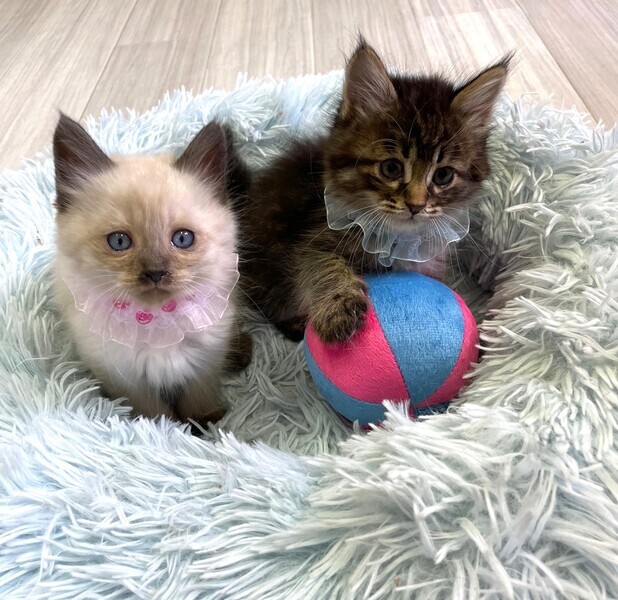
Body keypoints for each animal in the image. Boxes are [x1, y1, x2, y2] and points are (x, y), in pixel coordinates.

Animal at [53, 114, 251, 424]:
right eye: (119, 242)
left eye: (182, 239)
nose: (156, 273)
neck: (158, 323)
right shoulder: (125, 380)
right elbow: (153, 414)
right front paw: (165, 429)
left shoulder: (206, 363)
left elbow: (199, 400)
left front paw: (205, 423)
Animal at [238, 39, 509, 344]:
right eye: (391, 168)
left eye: (443, 175)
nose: (416, 205)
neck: (396, 240)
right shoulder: (311, 236)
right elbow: (322, 265)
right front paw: (339, 309)